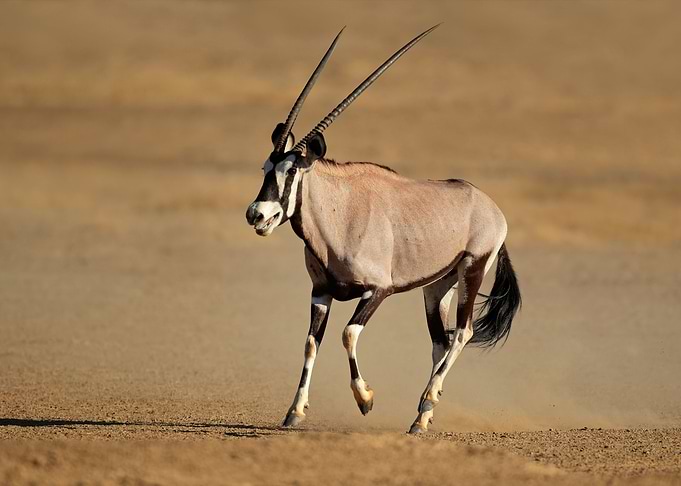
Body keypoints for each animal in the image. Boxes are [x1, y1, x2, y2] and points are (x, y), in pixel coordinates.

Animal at [245, 25, 521, 434]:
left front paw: (365, 399)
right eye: (266, 168)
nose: (258, 214)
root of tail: (490, 206)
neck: (341, 212)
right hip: (437, 286)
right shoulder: (321, 291)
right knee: (441, 342)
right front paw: (294, 411)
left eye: (291, 170)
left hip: (472, 269)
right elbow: (311, 343)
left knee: (463, 333)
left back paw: (427, 400)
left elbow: (348, 334)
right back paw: (421, 418)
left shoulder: (378, 289)